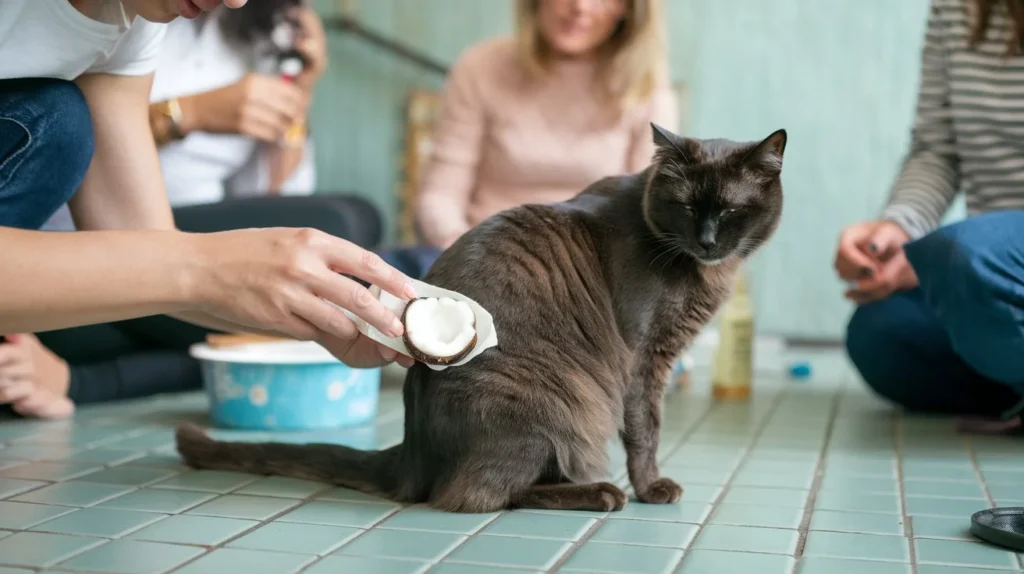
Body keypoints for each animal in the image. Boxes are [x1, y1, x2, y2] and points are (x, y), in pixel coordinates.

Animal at [176, 123, 786, 511]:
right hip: (550, 412)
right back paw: (600, 494)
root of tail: (411, 451)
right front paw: (651, 488)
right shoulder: (644, 359)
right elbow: (646, 430)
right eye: (685, 206)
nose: (707, 240)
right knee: (474, 498)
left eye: (731, 210)